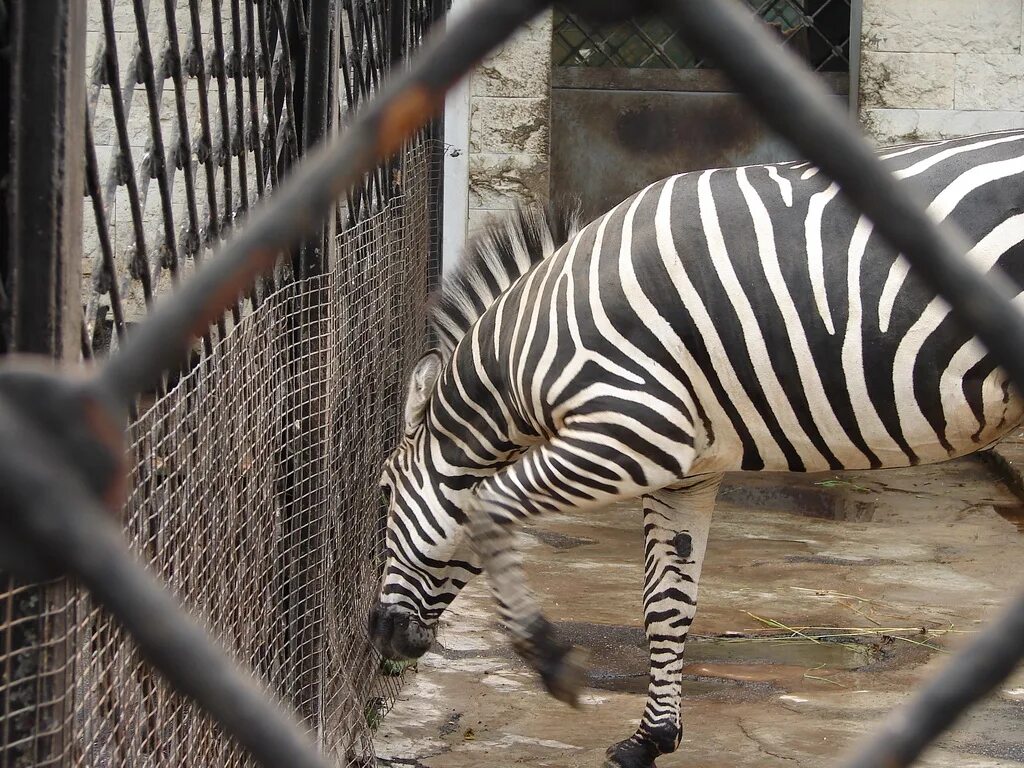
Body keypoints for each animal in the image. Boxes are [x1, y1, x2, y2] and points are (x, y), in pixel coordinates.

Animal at [368, 129, 1024, 765]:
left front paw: (549, 658)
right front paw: (650, 739)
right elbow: (667, 601)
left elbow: (489, 505)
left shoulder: (632, 430)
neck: (536, 345)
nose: (378, 633)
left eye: (383, 493)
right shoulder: (687, 468)